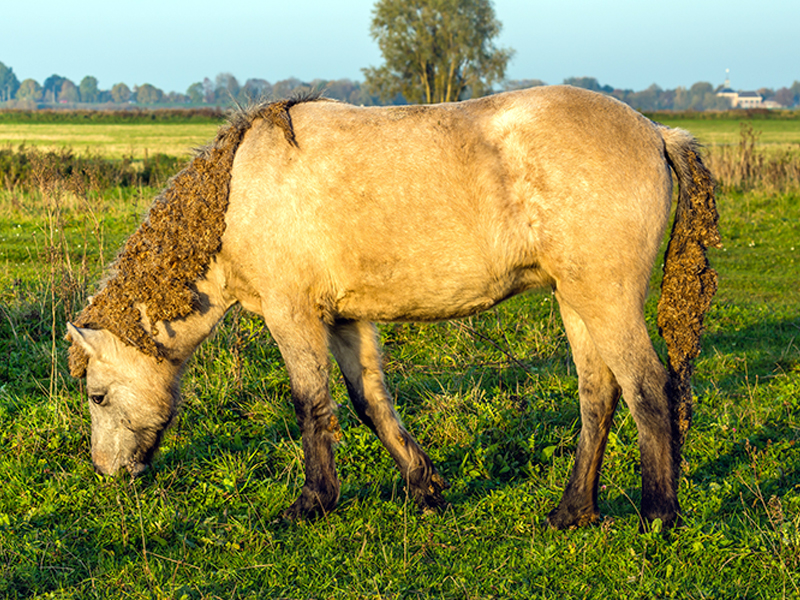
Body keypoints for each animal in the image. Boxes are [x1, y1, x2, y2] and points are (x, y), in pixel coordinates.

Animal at [66, 85, 719, 529]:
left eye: (97, 396)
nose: (109, 473)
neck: (235, 195)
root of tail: (658, 133)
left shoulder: (291, 315)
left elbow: (311, 405)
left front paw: (312, 503)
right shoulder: (347, 319)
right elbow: (369, 403)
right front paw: (423, 486)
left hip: (605, 301)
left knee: (647, 388)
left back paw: (658, 514)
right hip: (576, 301)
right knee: (598, 395)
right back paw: (572, 511)